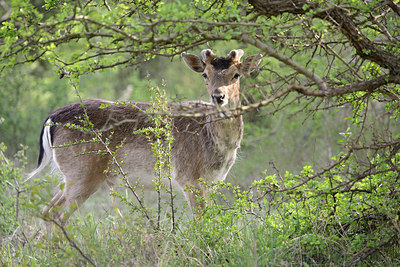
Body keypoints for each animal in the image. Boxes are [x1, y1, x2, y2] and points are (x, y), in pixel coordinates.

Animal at [25, 49, 262, 225]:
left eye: (236, 74)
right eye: (205, 74)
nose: (218, 96)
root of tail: (52, 119)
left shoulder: (213, 181)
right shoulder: (188, 177)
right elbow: (202, 222)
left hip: (72, 177)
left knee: (47, 211)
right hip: (82, 174)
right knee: (56, 214)